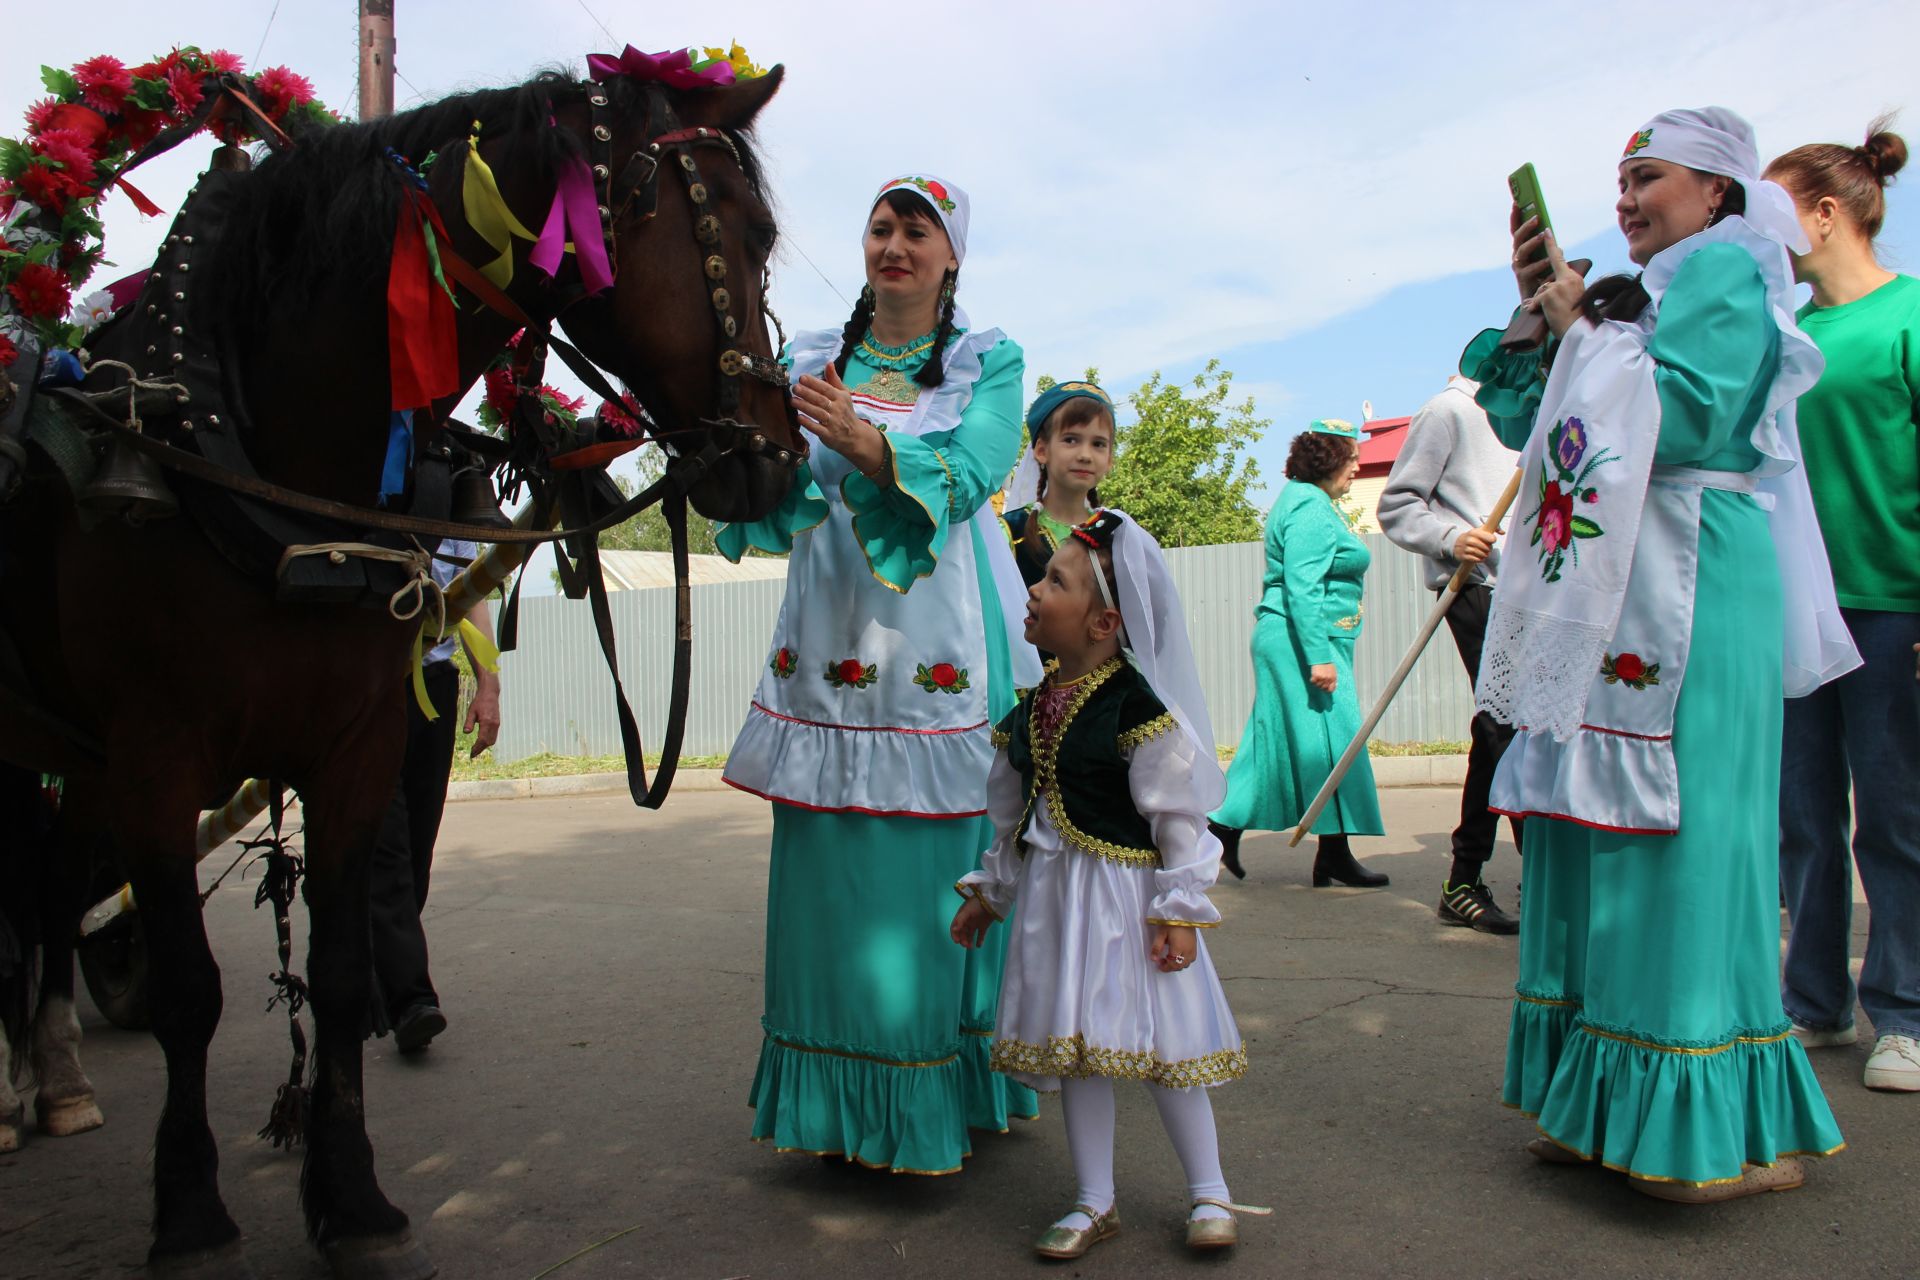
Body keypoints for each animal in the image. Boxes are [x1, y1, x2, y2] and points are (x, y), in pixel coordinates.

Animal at [0, 40, 802, 1280]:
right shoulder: (154, 757)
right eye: (747, 229)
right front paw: (189, 1207)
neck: (254, 437)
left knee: (43, 899)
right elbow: (189, 989)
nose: (777, 457)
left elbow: (334, 975)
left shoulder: (354, 745)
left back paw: (56, 1078)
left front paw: (354, 1198)